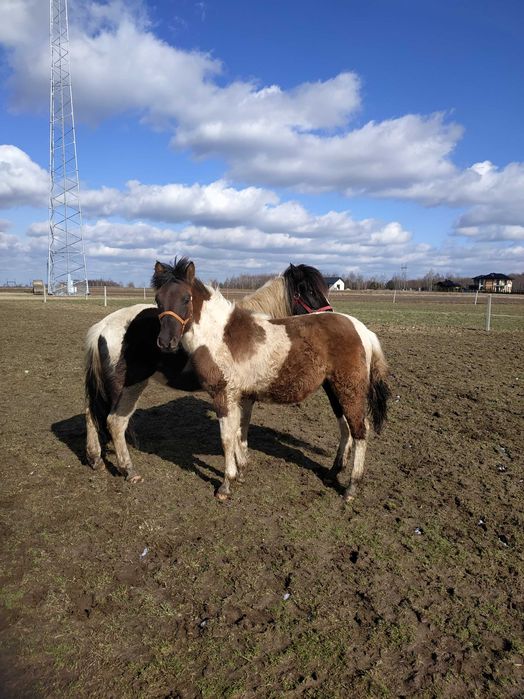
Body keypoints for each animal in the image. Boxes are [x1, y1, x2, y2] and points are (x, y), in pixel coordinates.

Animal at [85, 262, 332, 482]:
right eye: (309, 291)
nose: (330, 315)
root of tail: (103, 326)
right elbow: (238, 428)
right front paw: (239, 466)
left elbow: (238, 426)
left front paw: (240, 465)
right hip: (128, 385)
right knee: (115, 421)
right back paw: (129, 470)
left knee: (91, 412)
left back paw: (96, 458)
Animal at [151, 260, 388, 500]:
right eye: (158, 299)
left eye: (186, 298)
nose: (166, 342)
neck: (219, 335)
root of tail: (362, 330)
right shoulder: (242, 396)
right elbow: (239, 431)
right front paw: (241, 472)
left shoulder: (223, 395)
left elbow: (227, 438)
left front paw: (226, 484)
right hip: (334, 390)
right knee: (346, 427)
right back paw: (333, 473)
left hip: (349, 390)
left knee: (360, 430)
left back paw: (351, 487)